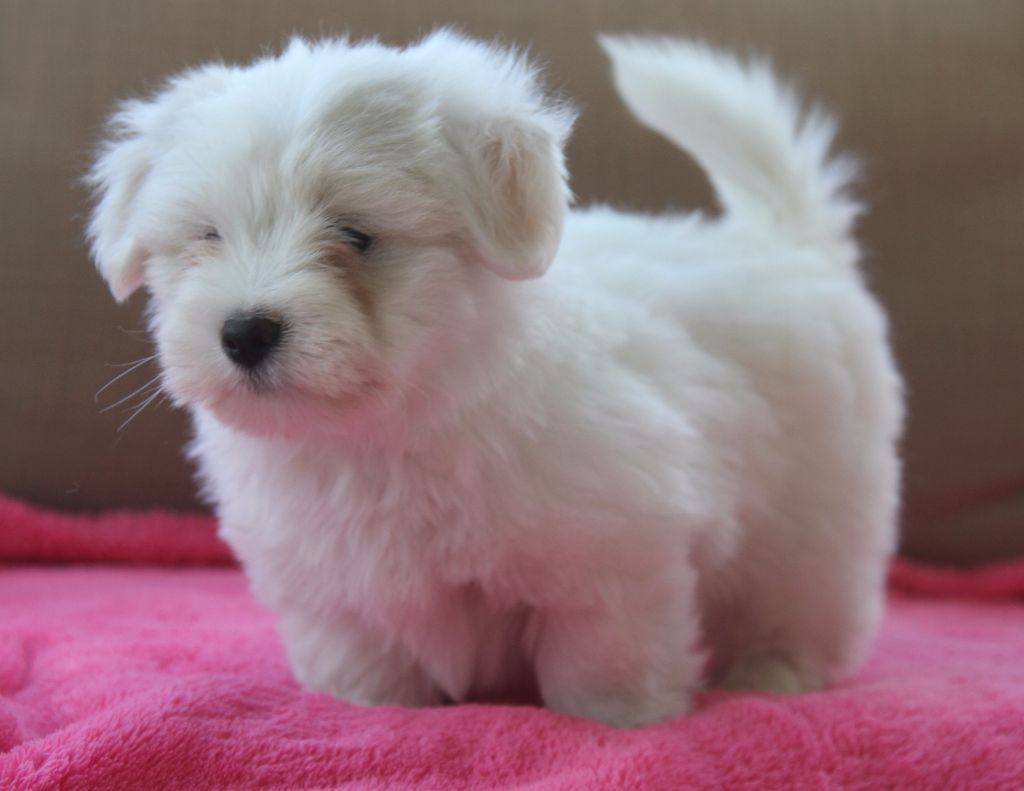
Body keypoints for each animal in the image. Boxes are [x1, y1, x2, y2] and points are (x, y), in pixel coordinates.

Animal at [86, 30, 903, 727]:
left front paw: (622, 721)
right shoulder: (331, 586)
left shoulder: (613, 555)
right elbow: (362, 661)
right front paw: (366, 708)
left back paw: (773, 672)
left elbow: (601, 658)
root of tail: (785, 240)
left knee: (803, 596)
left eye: (355, 235)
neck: (382, 433)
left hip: (815, 507)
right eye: (207, 235)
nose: (245, 331)